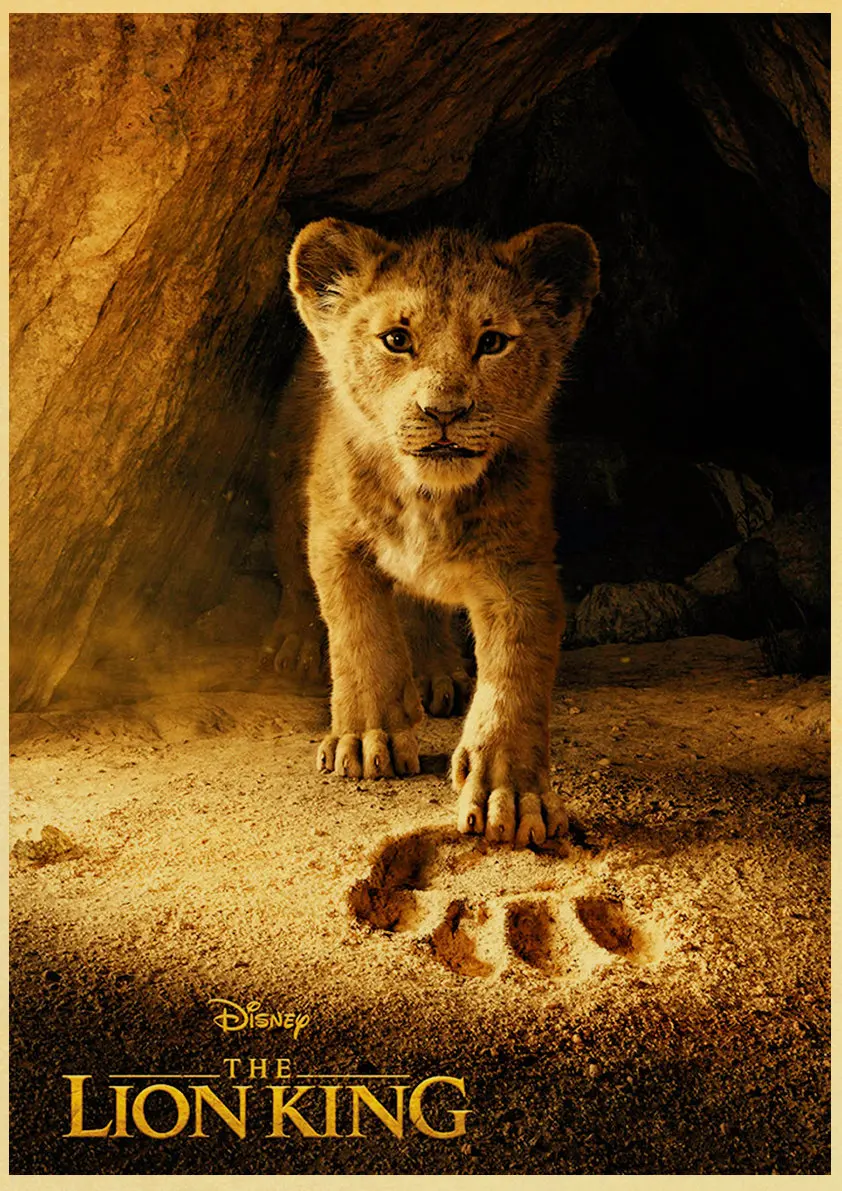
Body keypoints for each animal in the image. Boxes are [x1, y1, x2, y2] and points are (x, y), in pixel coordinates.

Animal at [265, 218, 599, 846]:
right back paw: (294, 643)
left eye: (492, 343)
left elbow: (515, 677)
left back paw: (435, 673)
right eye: (397, 339)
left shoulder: (521, 571)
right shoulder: (336, 539)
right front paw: (365, 738)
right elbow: (360, 635)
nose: (443, 411)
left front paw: (511, 794)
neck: (428, 497)